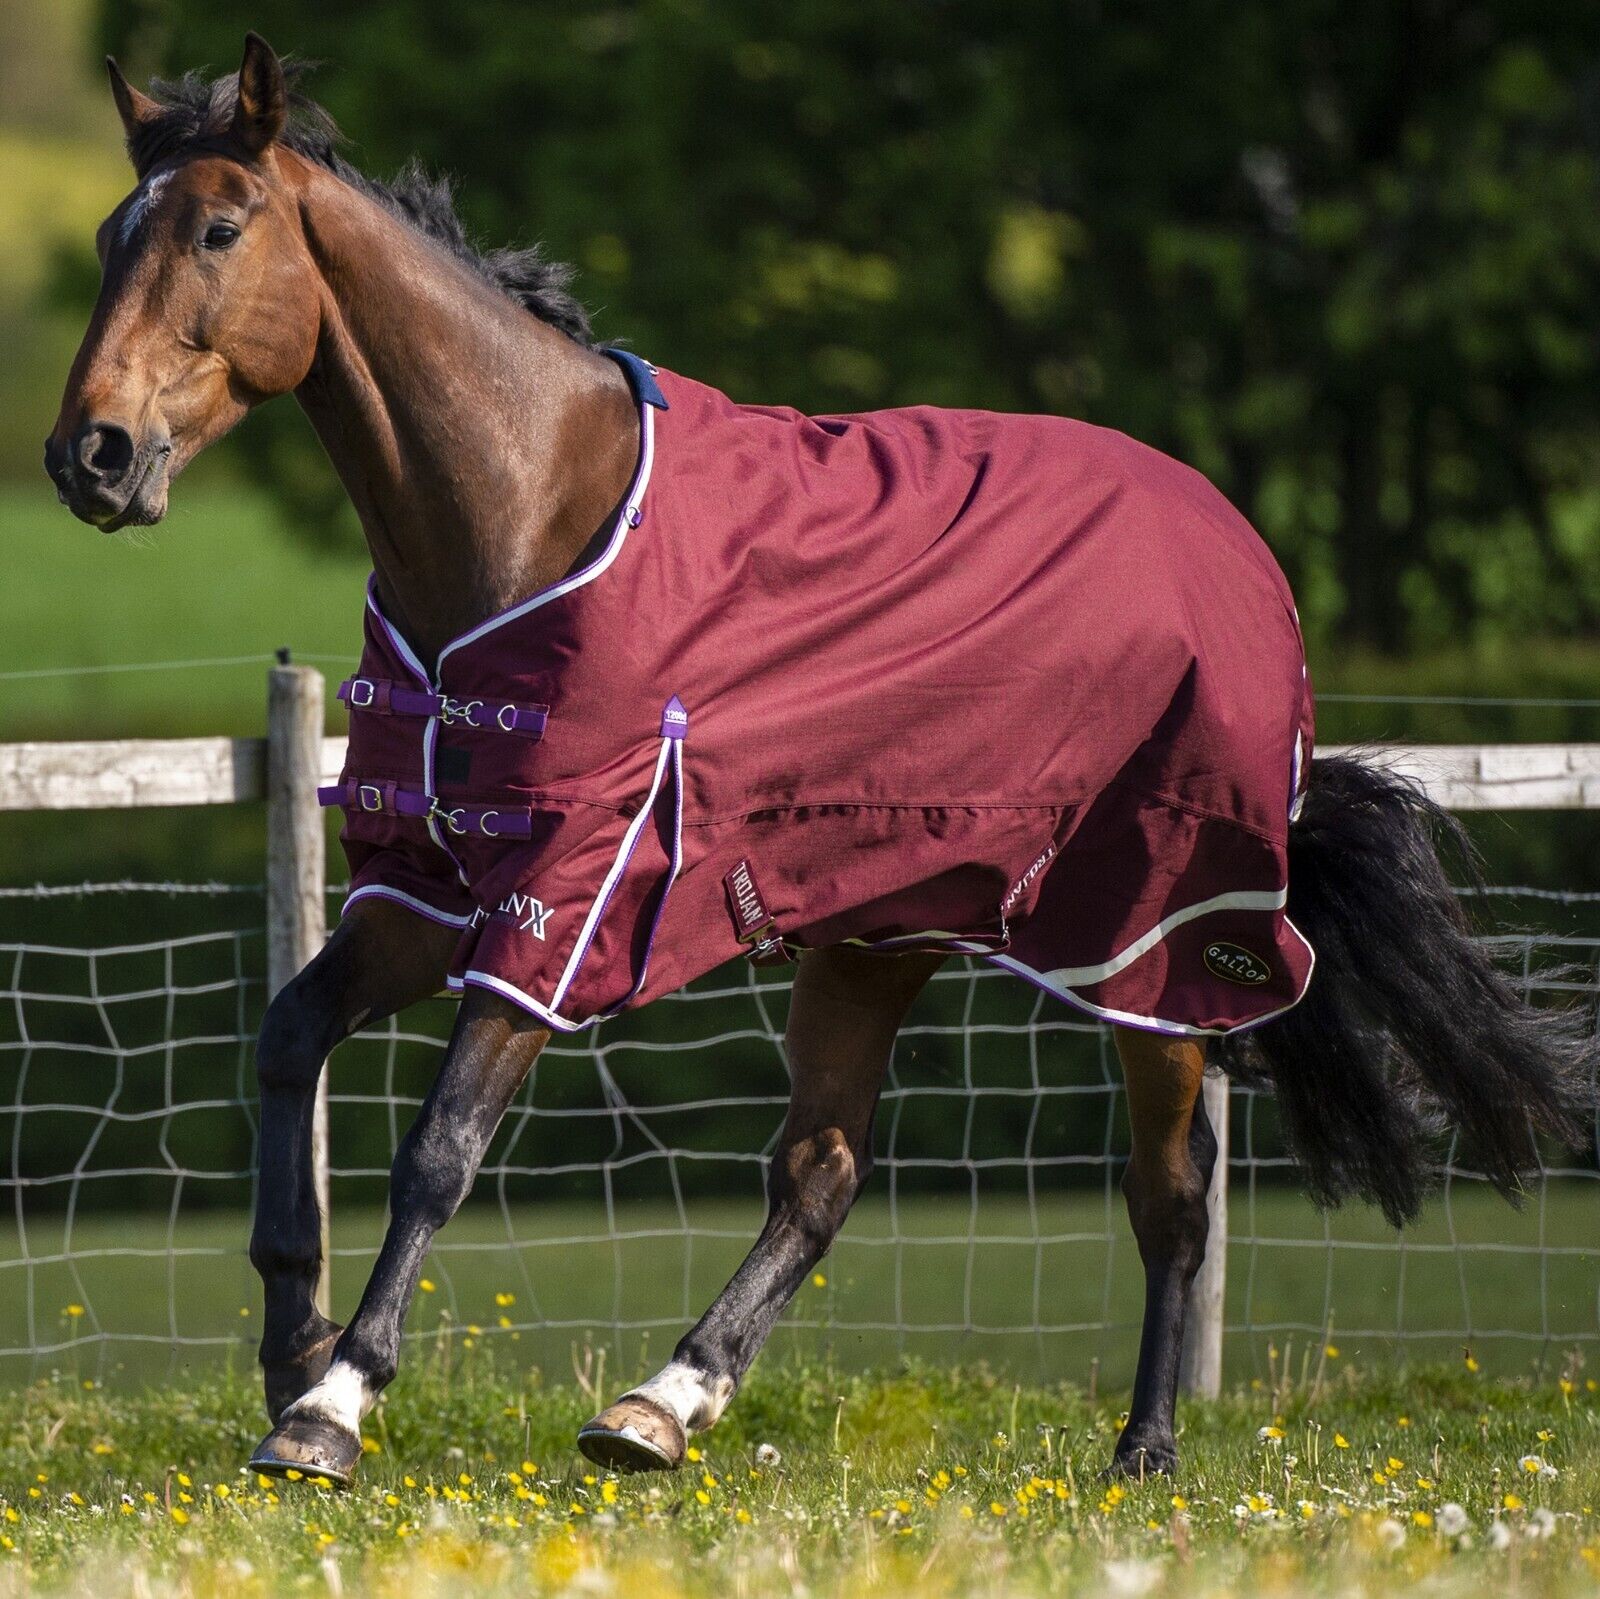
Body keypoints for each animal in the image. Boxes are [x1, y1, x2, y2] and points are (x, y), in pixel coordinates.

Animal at [48, 36, 1595, 1487]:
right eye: (117, 234)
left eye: (218, 229)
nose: (90, 457)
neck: (531, 516)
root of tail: (1236, 546)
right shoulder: (427, 891)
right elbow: (285, 1040)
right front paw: (288, 1347)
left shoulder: (569, 900)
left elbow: (440, 1143)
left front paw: (333, 1403)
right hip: (876, 926)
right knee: (824, 1173)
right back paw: (658, 1406)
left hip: (1151, 940)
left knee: (1174, 1189)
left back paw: (1145, 1450)